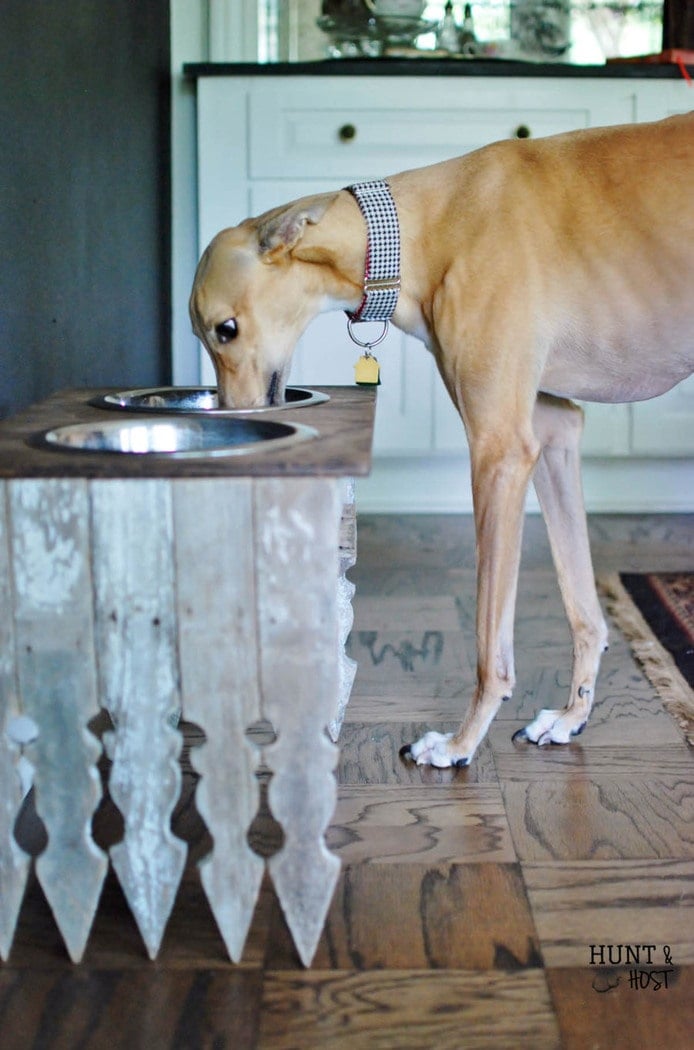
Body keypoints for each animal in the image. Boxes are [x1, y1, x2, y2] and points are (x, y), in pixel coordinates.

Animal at [188, 112, 692, 772]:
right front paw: (571, 715)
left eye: (226, 329)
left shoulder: (500, 449)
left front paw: (459, 744)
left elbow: (488, 646)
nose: (236, 424)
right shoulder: (552, 431)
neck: (419, 227)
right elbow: (584, 606)